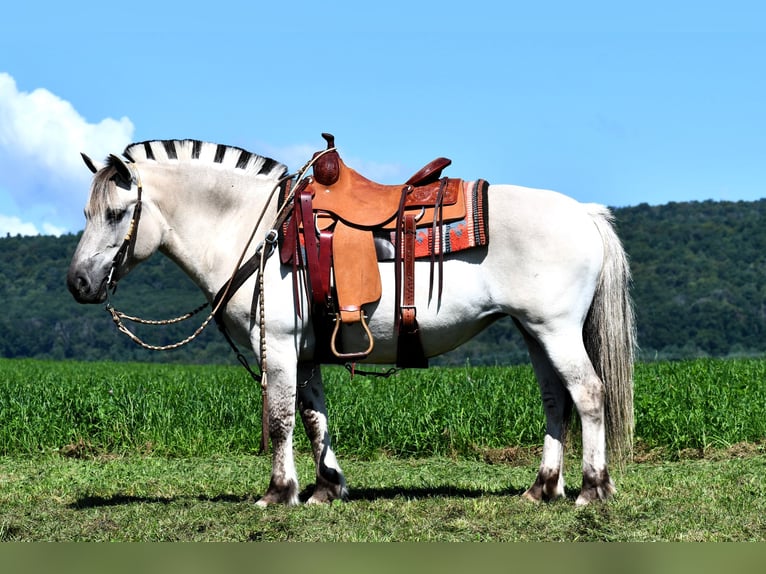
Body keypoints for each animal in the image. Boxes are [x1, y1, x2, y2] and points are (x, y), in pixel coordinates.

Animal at [67, 140, 636, 508]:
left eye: (116, 214)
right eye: (87, 212)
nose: (78, 283)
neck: (258, 233)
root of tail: (583, 213)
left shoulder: (279, 345)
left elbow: (280, 419)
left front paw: (278, 493)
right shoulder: (306, 351)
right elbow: (313, 416)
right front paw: (326, 487)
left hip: (556, 330)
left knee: (588, 393)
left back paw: (592, 488)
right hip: (534, 331)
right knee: (555, 400)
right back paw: (542, 488)